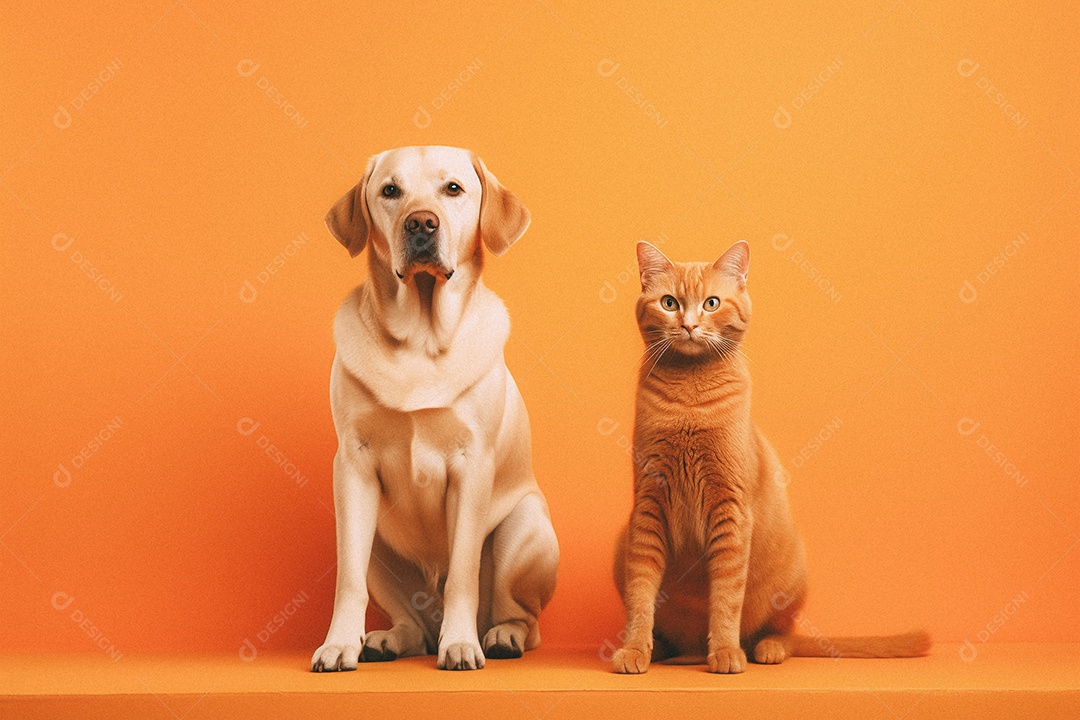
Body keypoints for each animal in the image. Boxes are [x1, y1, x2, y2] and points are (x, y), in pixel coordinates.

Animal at [306, 143, 552, 673]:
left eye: (453, 189)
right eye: (390, 190)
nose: (421, 223)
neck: (420, 336)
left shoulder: (471, 466)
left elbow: (462, 573)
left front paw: (459, 644)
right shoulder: (352, 467)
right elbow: (348, 579)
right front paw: (339, 643)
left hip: (525, 529)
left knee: (522, 616)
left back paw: (500, 635)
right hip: (377, 544)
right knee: (414, 626)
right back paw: (386, 640)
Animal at [613, 243, 933, 677]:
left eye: (711, 303)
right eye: (669, 303)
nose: (690, 325)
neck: (689, 402)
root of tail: (691, 646)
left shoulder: (730, 510)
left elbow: (727, 595)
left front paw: (726, 652)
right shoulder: (647, 507)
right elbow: (641, 591)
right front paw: (634, 649)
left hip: (794, 573)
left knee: (785, 633)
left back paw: (767, 648)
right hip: (622, 545)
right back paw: (662, 648)